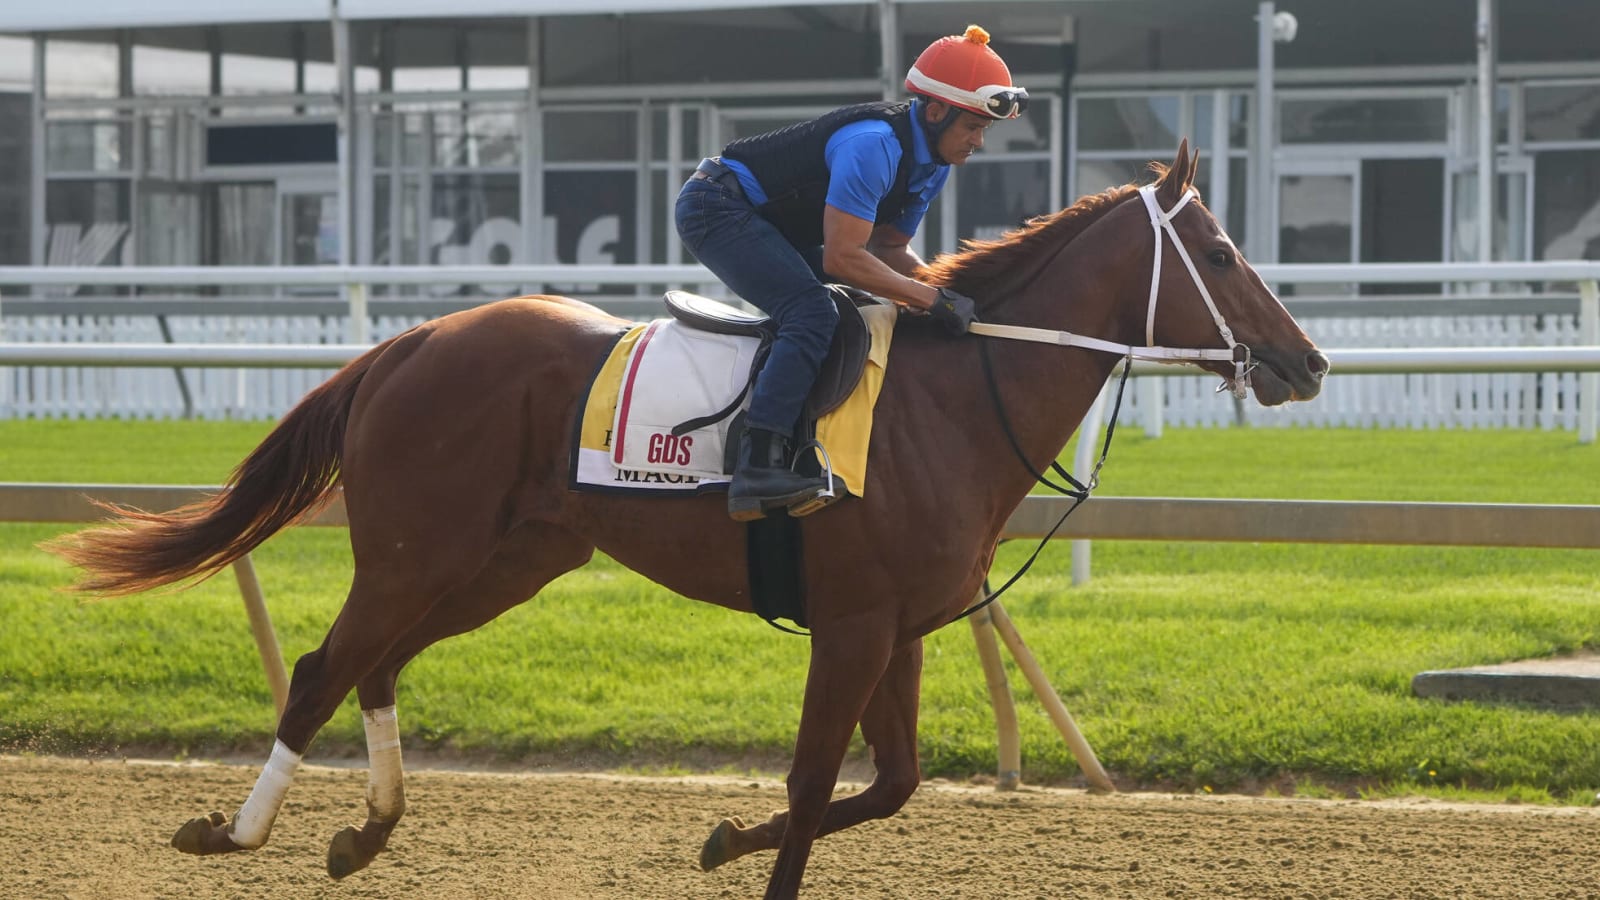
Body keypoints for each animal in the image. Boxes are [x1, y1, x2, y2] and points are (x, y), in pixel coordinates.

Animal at [50, 143, 1324, 890]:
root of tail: (408, 344)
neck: (956, 398)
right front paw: (747, 847)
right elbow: (813, 789)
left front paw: (721, 838)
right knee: (323, 667)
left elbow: (891, 785)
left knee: (376, 666)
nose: (1305, 363)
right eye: (1219, 252)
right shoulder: (850, 627)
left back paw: (365, 830)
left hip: (507, 561)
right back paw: (236, 832)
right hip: (417, 553)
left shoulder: (900, 625)